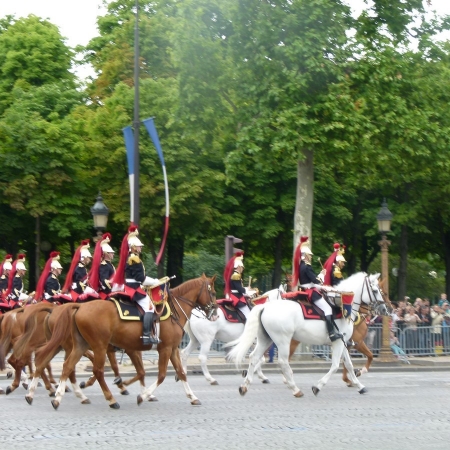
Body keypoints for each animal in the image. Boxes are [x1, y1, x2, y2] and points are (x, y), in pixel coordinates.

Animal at [31, 274, 216, 412]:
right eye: (213, 292)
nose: (214, 313)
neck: (173, 312)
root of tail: (79, 307)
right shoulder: (163, 349)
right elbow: (160, 375)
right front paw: (142, 395)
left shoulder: (170, 349)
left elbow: (179, 373)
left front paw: (193, 397)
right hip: (97, 346)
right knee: (95, 371)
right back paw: (110, 399)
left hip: (79, 345)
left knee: (65, 366)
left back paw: (56, 397)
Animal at [229, 274, 386, 398]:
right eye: (375, 290)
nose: (384, 309)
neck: (342, 307)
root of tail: (265, 306)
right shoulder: (338, 343)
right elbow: (335, 365)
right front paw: (318, 386)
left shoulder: (342, 343)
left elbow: (349, 365)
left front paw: (360, 386)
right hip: (283, 341)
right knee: (283, 362)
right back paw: (295, 389)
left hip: (265, 339)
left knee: (254, 357)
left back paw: (244, 386)